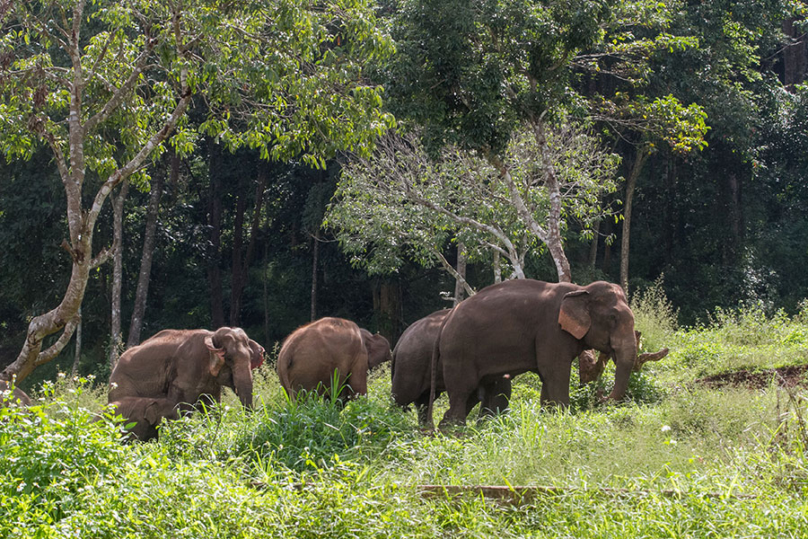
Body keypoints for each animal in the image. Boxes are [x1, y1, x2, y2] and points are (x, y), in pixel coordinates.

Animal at [107, 326, 264, 440]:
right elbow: (182, 408)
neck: (211, 335)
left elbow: (211, 406)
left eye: (250, 357)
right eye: (229, 358)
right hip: (122, 386)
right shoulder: (187, 370)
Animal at [430, 280, 644, 428]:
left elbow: (548, 377)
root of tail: (446, 321)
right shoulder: (551, 330)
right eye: (613, 318)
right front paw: (562, 419)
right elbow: (555, 372)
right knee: (462, 392)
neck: (580, 289)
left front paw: (548, 419)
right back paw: (456, 432)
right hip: (459, 351)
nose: (600, 394)